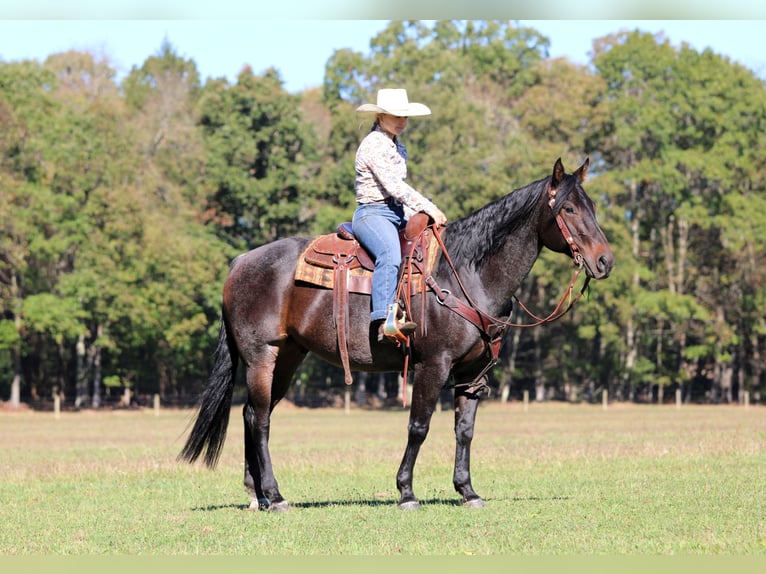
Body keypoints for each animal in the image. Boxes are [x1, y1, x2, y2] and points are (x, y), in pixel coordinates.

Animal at [179, 157, 615, 511]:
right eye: (569, 208)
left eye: (592, 207)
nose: (605, 261)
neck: (465, 273)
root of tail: (240, 261)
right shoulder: (433, 364)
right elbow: (418, 427)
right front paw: (406, 492)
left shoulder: (473, 374)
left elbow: (465, 431)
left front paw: (468, 491)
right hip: (261, 356)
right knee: (261, 421)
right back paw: (276, 495)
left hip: (286, 359)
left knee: (254, 413)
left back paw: (258, 495)